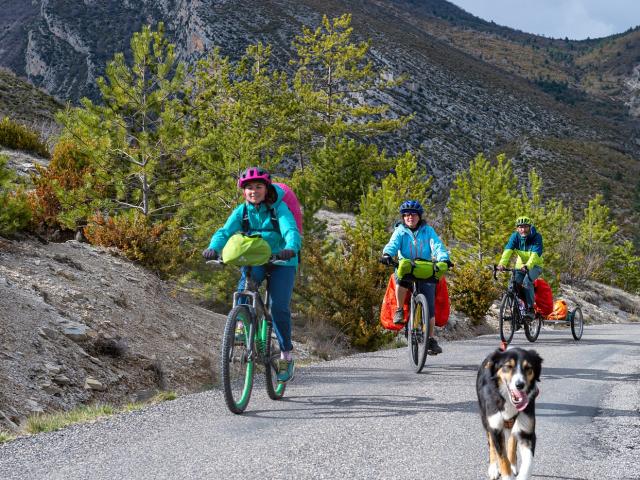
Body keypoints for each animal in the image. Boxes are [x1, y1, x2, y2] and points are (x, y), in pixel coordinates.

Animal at [478, 348, 544, 480]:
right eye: (508, 366)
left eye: (528, 367)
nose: (520, 385)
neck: (507, 399)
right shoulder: (495, 427)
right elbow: (502, 458)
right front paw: (506, 474)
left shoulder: (527, 431)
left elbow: (528, 462)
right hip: (485, 418)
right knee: (491, 444)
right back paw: (493, 468)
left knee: (512, 440)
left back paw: (513, 465)